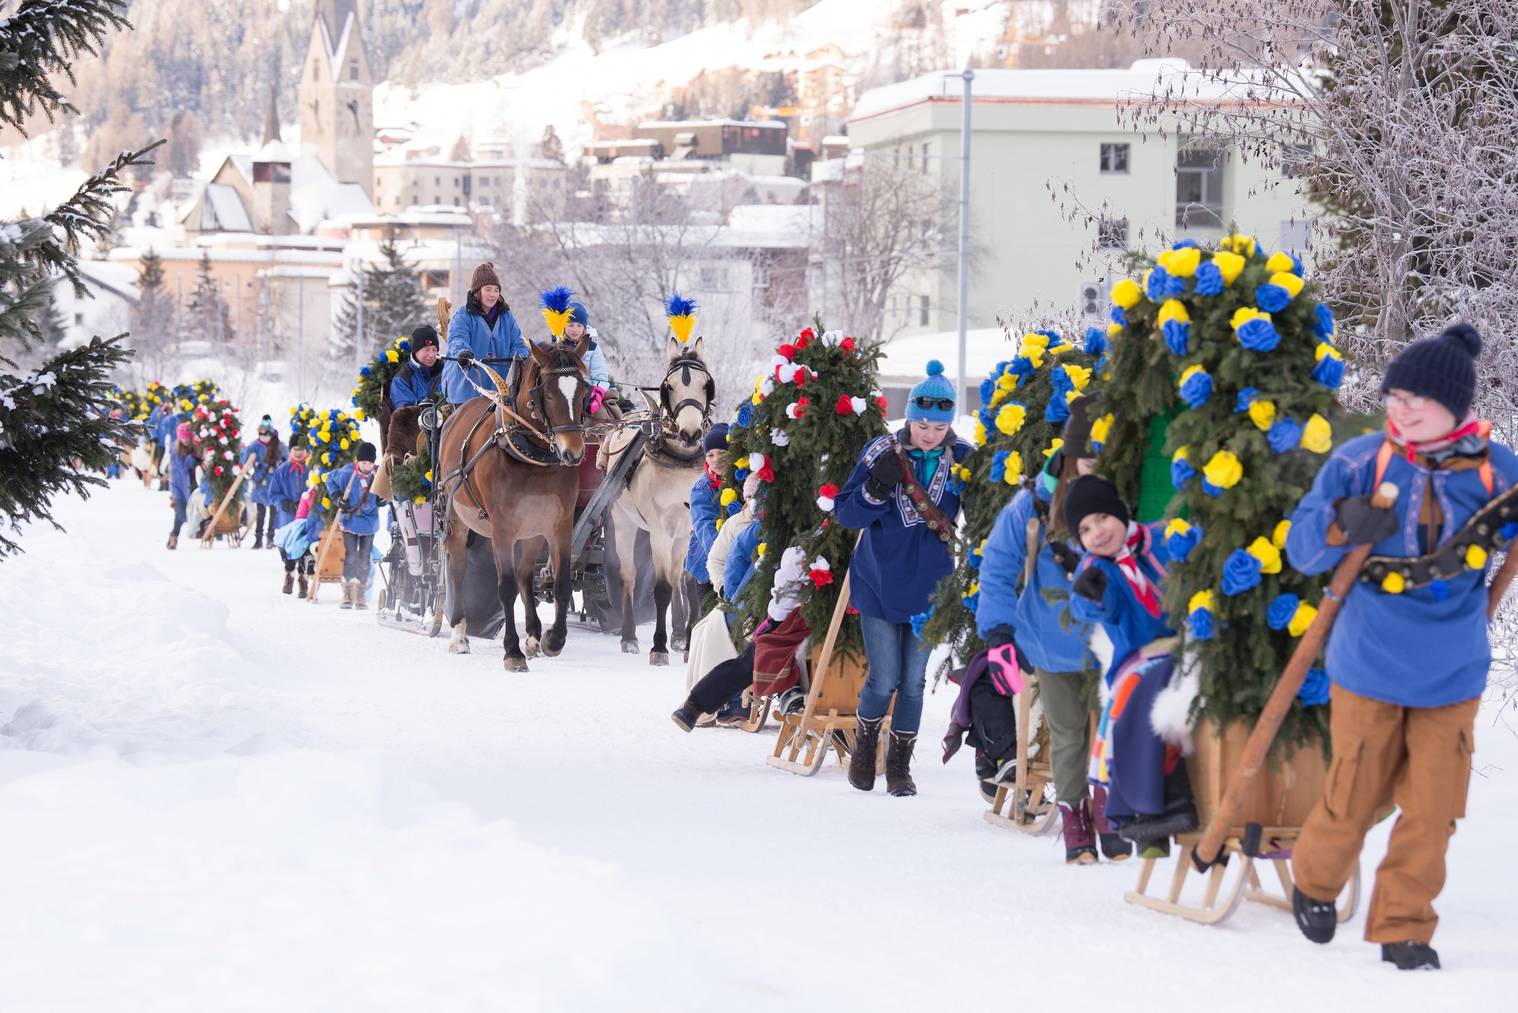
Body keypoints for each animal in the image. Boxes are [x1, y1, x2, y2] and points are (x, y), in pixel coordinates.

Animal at [437, 343, 588, 674]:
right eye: (547, 395)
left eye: (583, 390)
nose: (573, 453)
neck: (533, 458)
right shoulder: (502, 529)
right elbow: (505, 587)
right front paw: (512, 652)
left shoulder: (560, 527)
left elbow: (561, 584)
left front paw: (552, 639)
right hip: (457, 519)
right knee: (457, 569)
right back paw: (459, 634)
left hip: (531, 532)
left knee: (524, 575)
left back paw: (533, 635)